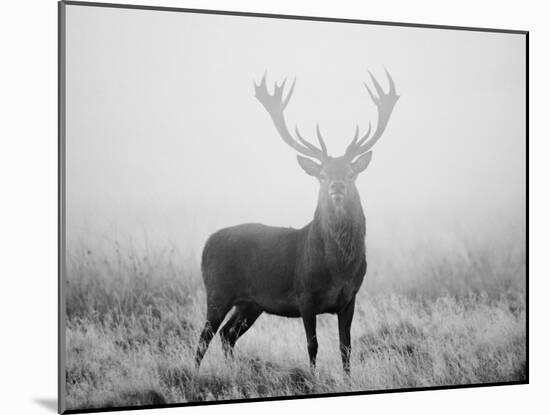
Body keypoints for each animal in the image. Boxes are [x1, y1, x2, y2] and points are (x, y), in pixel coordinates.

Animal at [196, 70, 398, 376]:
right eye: (322, 174)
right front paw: (313, 378)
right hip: (218, 290)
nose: (337, 186)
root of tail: (206, 244)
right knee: (203, 338)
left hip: (251, 303)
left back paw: (233, 371)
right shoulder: (305, 295)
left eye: (351, 173)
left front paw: (348, 379)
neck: (338, 268)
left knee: (227, 334)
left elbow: (346, 347)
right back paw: (193, 375)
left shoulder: (350, 297)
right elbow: (312, 346)